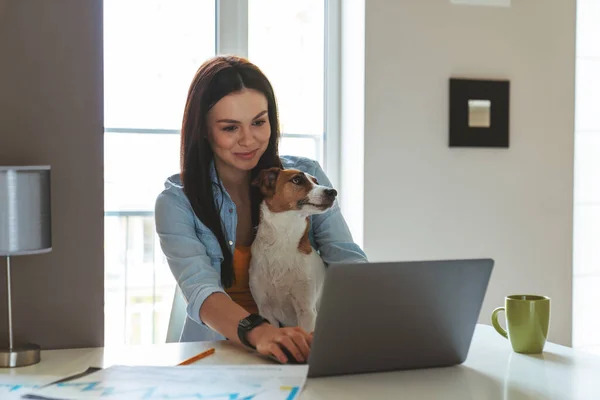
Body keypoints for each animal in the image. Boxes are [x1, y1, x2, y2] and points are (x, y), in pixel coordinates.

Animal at [248, 167, 338, 332]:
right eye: (297, 180)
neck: (283, 241)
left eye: (316, 181)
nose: (333, 192)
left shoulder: (307, 312)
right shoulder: (265, 311)